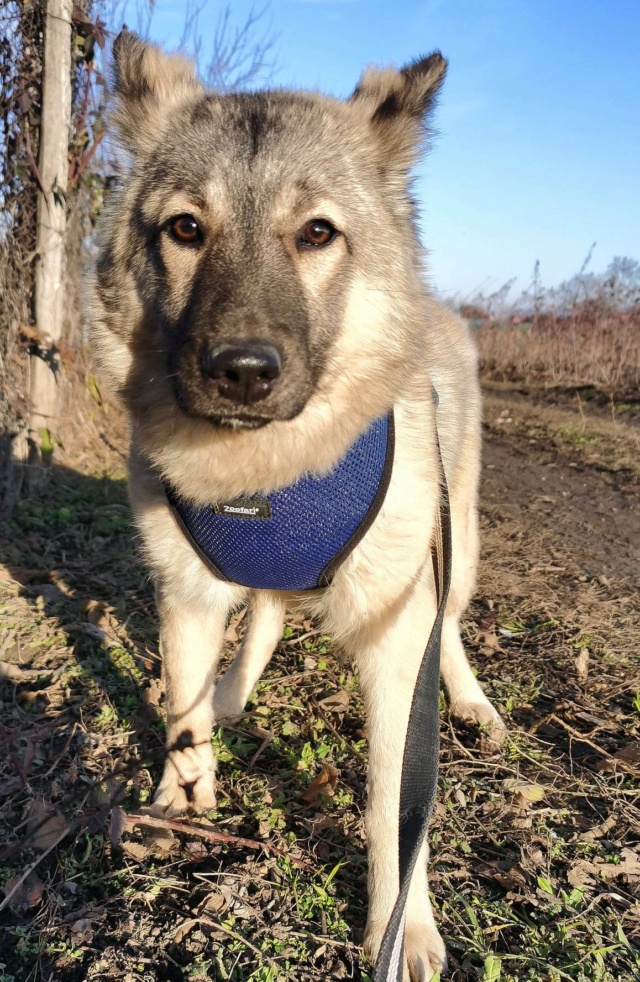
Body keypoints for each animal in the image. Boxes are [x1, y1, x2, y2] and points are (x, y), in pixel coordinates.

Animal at [91, 30, 504, 982]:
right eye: (185, 229)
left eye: (317, 233)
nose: (242, 370)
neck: (268, 479)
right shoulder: (187, 593)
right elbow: (181, 714)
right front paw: (181, 799)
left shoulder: (396, 635)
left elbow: (394, 803)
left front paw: (402, 926)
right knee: (267, 617)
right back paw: (231, 692)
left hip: (456, 548)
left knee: (451, 629)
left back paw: (472, 701)